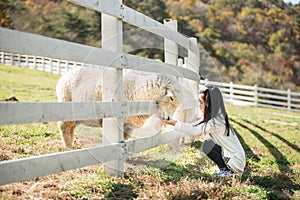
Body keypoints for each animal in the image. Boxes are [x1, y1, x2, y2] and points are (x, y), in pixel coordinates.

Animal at [56, 66, 202, 148]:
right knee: (64, 126)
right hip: (66, 102)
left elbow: (124, 139)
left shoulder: (128, 126)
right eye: (171, 99)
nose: (168, 119)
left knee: (70, 127)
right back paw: (68, 146)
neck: (139, 92)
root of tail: (65, 74)